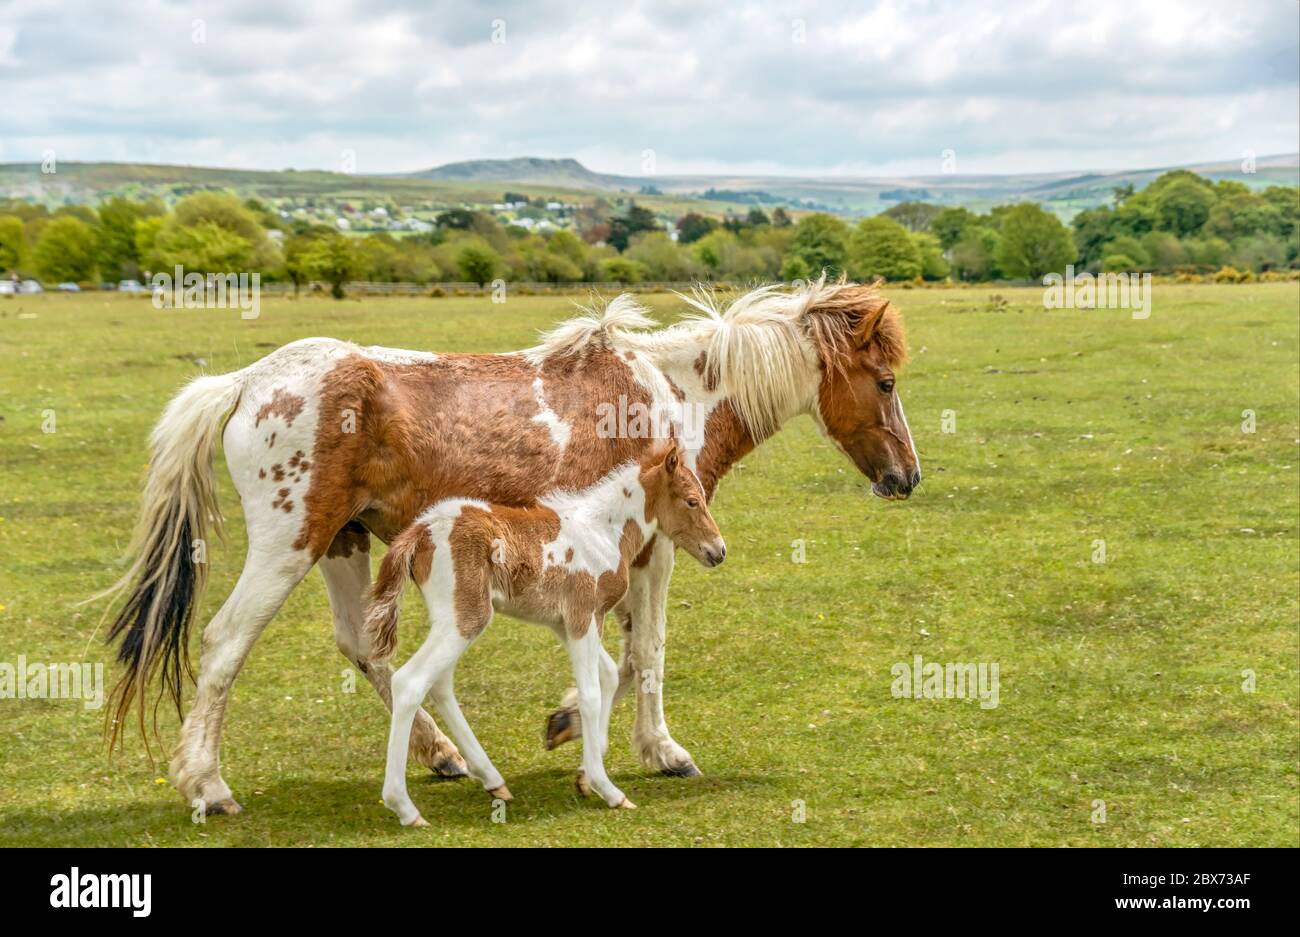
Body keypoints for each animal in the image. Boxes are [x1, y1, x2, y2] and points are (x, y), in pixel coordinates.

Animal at [367, 440, 725, 824]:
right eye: (692, 500)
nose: (718, 551)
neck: (603, 531)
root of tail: (421, 531)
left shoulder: (566, 624)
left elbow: (609, 676)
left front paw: (585, 773)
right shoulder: (583, 617)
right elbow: (591, 694)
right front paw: (608, 789)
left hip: (450, 620)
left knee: (440, 683)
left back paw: (492, 780)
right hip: (466, 619)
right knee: (410, 682)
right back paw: (405, 807)